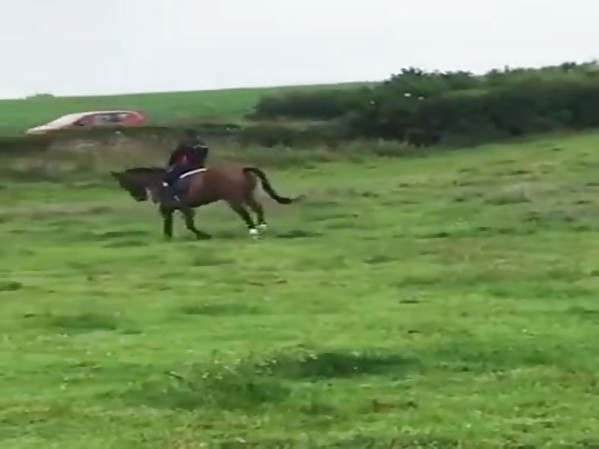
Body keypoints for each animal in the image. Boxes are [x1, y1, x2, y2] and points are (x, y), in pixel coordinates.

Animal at [110, 164, 301, 240]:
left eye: (124, 183)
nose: (139, 197)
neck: (159, 181)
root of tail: (241, 168)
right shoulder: (171, 208)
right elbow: (169, 224)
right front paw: (167, 238)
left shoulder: (183, 207)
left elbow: (189, 224)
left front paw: (203, 235)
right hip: (247, 195)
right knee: (257, 208)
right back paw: (262, 227)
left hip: (233, 199)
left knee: (244, 212)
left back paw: (253, 230)